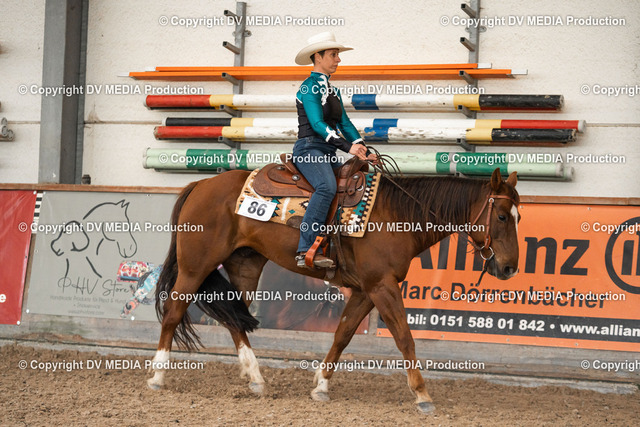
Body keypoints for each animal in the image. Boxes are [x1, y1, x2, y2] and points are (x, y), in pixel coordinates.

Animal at [148, 167, 520, 414]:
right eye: (502, 216)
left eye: (518, 216)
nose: (510, 268)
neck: (395, 214)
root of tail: (200, 184)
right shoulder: (381, 286)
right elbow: (404, 336)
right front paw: (422, 395)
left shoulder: (365, 291)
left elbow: (342, 335)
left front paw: (322, 386)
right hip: (195, 266)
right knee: (174, 312)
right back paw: (157, 376)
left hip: (245, 266)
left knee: (235, 320)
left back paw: (256, 379)